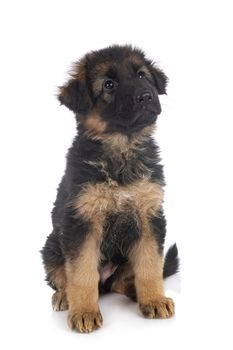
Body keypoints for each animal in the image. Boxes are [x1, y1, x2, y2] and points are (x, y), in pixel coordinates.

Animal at [41, 45, 179, 332]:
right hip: (51, 246)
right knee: (64, 278)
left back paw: (135, 291)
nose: (146, 96)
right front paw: (84, 311)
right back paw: (64, 297)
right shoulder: (82, 221)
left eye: (142, 75)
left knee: (120, 282)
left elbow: (151, 265)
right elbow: (81, 272)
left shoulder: (149, 217)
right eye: (109, 85)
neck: (121, 148)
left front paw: (154, 299)